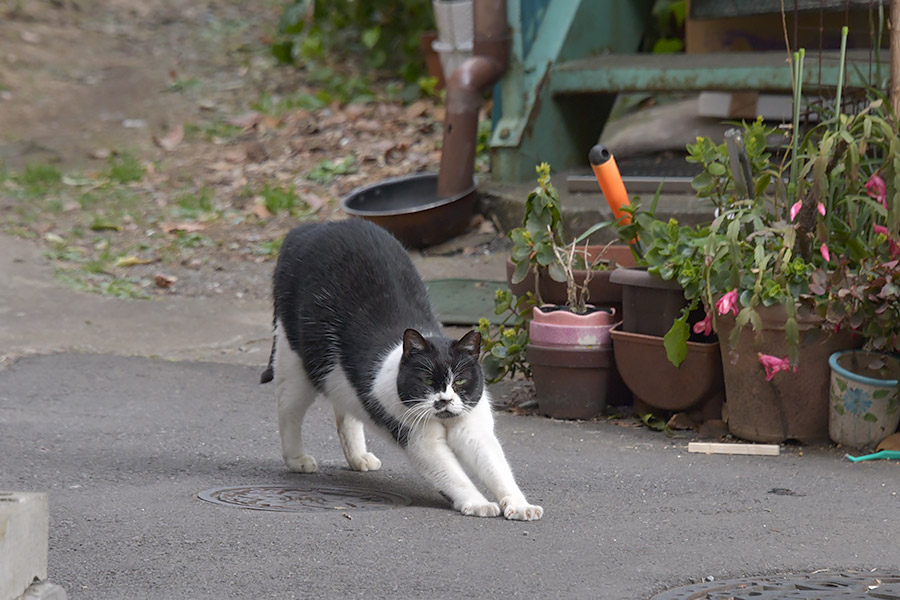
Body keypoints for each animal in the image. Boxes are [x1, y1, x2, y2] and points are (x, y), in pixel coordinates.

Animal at [260, 219, 540, 520]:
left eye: (461, 382)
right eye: (427, 379)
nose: (444, 400)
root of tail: (309, 228)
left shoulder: (474, 431)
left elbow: (497, 468)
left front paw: (520, 505)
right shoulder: (420, 441)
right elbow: (453, 475)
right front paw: (478, 503)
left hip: (334, 375)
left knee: (344, 408)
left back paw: (358, 458)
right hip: (294, 361)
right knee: (288, 409)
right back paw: (297, 459)